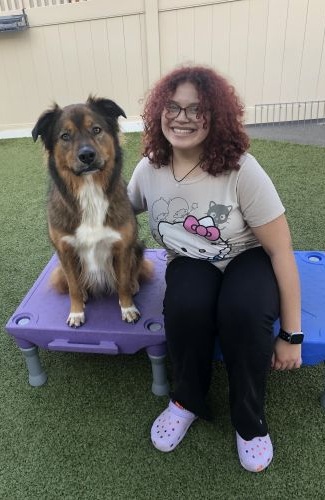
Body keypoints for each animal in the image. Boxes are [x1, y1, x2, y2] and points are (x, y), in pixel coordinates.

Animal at [31, 96, 151, 328]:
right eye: (65, 136)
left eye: (96, 129)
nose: (87, 155)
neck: (90, 192)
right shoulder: (65, 250)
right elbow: (74, 288)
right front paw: (77, 313)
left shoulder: (123, 246)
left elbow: (123, 282)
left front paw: (128, 308)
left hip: (138, 246)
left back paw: (134, 285)